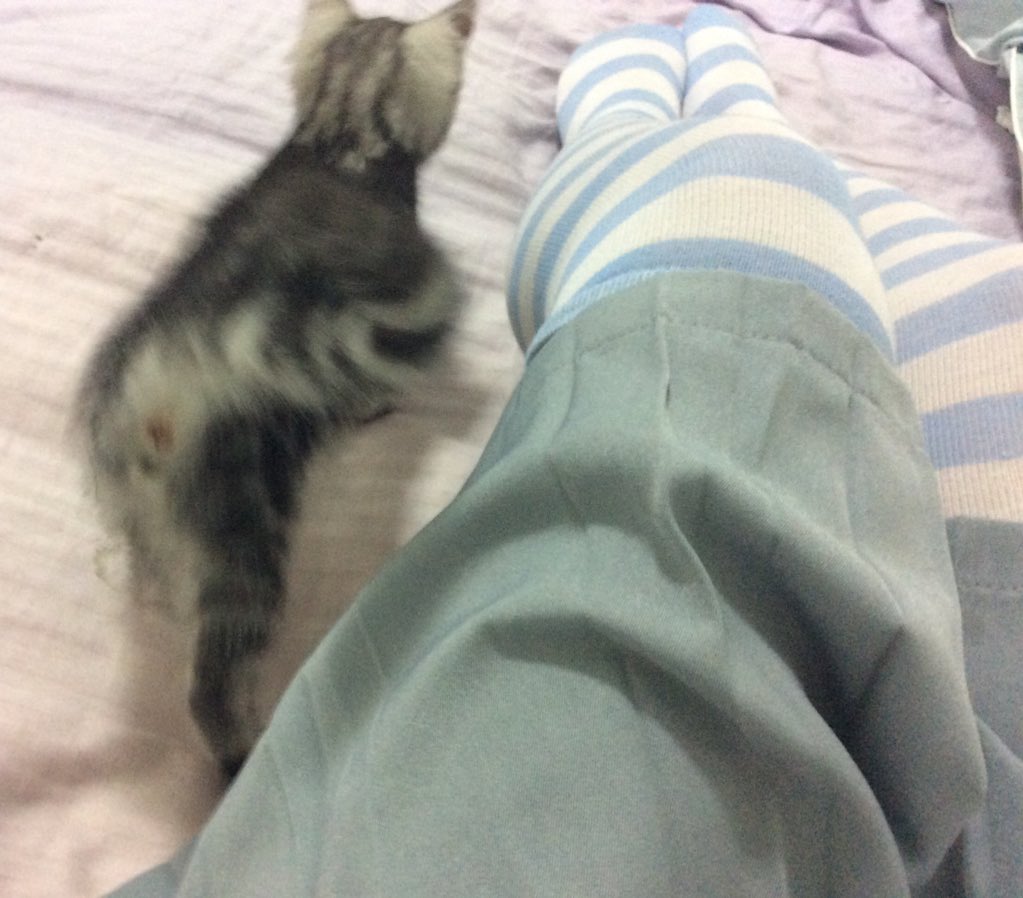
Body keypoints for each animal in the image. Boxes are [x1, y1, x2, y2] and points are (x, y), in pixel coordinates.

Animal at [76, 0, 474, 775]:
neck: (337, 137)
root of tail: (150, 375)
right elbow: (375, 387)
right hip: (245, 538)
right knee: (211, 681)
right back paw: (242, 751)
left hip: (152, 514)